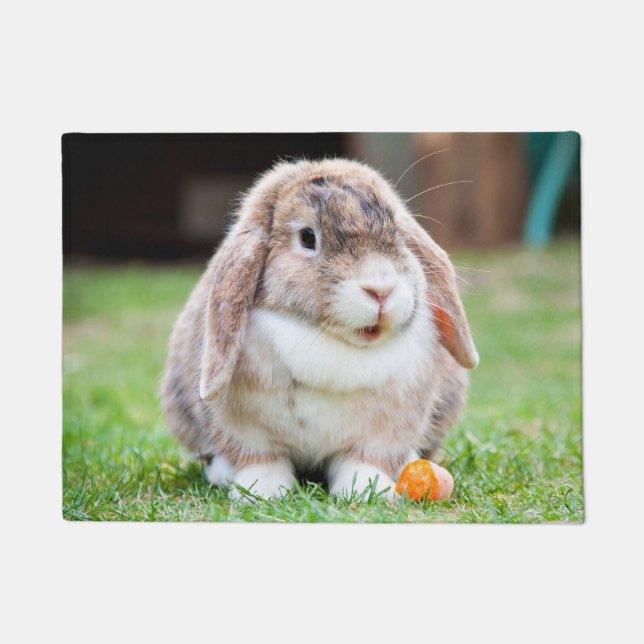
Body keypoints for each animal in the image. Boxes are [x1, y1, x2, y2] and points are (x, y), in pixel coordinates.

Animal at [161, 158, 478, 502]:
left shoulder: (383, 433)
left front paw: (368, 491)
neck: (331, 341)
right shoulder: (246, 432)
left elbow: (362, 461)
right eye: (307, 237)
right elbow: (262, 460)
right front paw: (263, 492)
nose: (381, 290)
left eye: (395, 230)